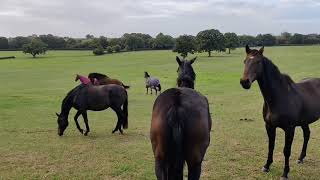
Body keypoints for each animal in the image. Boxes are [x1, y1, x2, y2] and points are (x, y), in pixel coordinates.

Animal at [239, 44, 320, 179]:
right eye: (245, 61)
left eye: (258, 61)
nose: (244, 82)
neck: (279, 96)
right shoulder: (269, 126)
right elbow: (271, 146)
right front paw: (266, 166)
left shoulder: (290, 129)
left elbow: (286, 151)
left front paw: (285, 173)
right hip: (304, 121)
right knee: (307, 134)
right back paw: (301, 158)